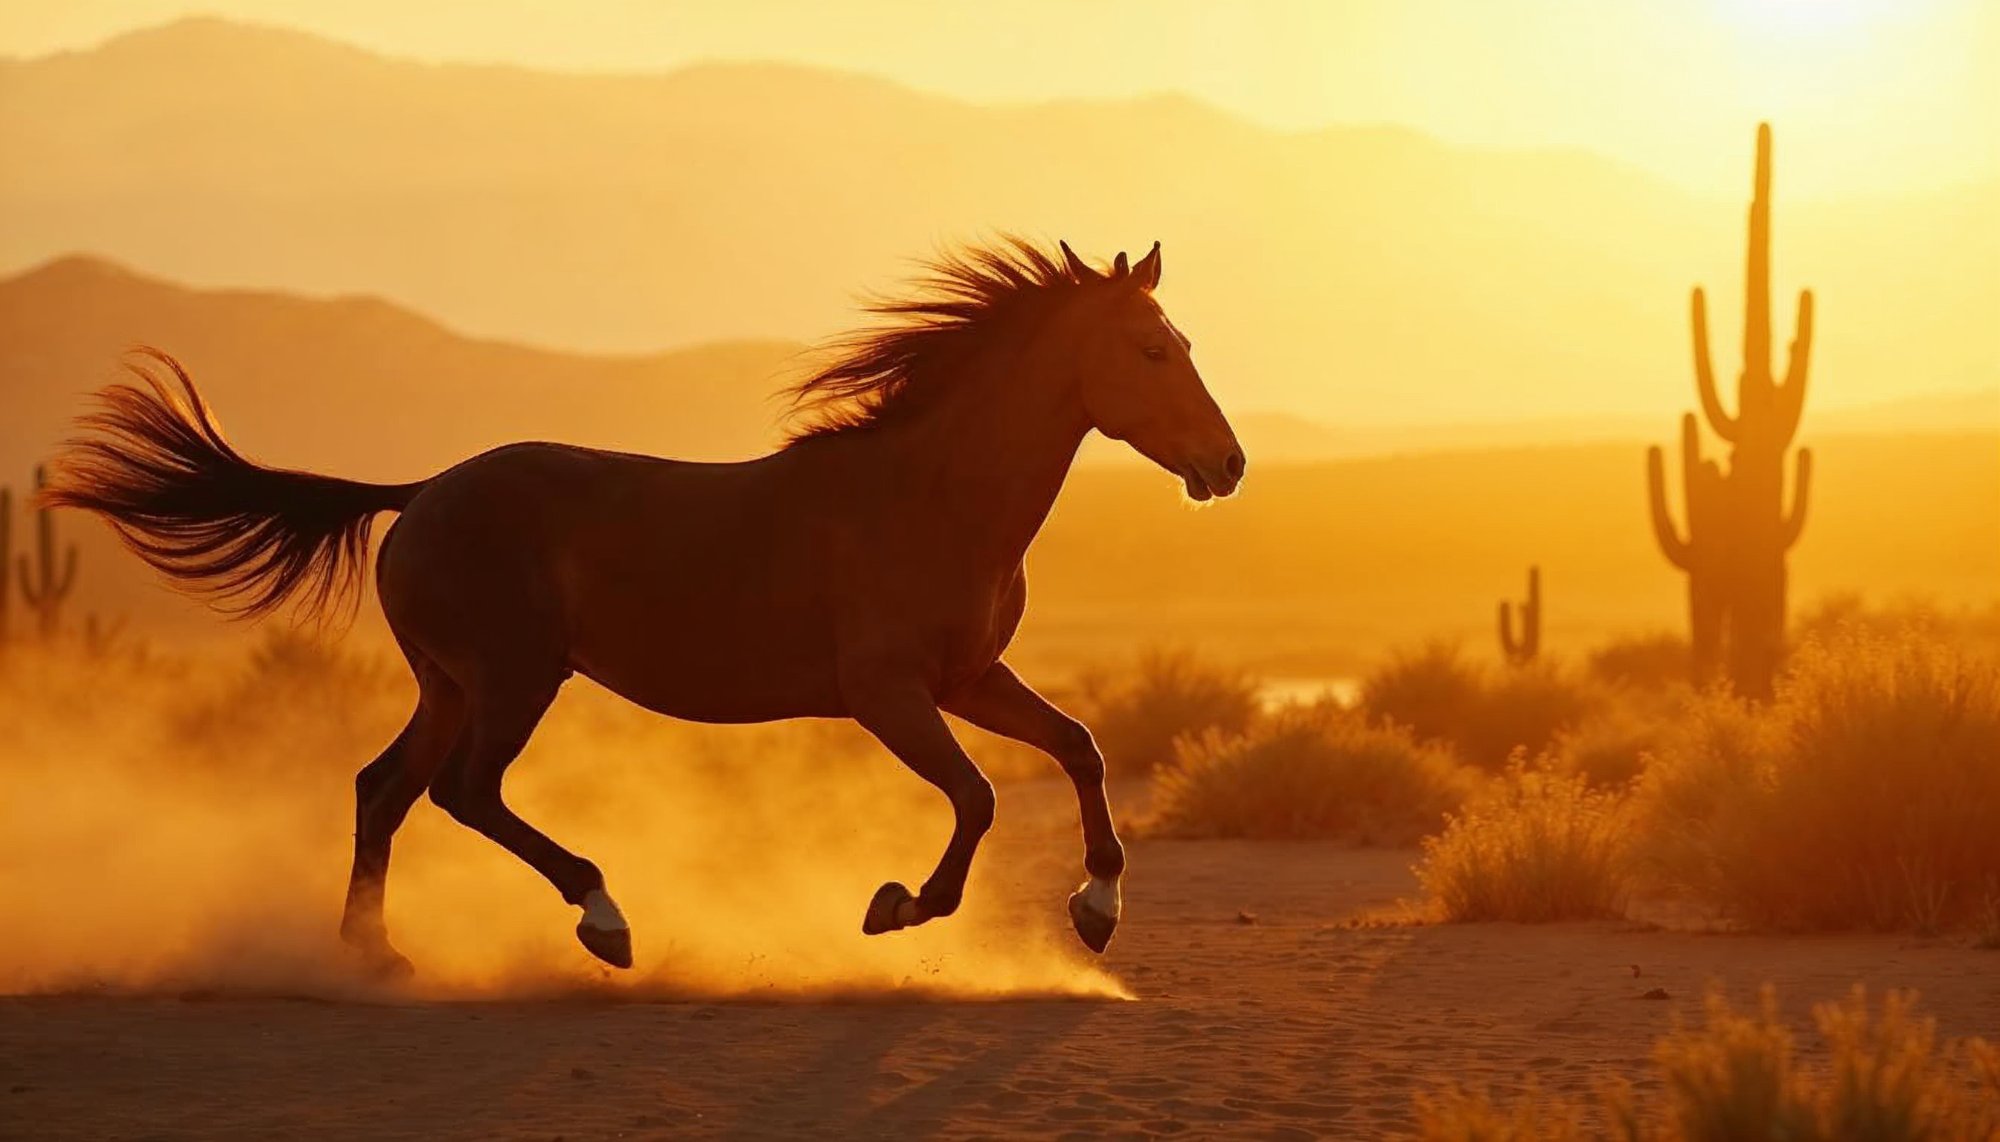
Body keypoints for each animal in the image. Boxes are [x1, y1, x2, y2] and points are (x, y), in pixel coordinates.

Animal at [44, 237, 1245, 976]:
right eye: (1151, 349)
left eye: (1186, 344)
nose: (1227, 465)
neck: (930, 497)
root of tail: (421, 492)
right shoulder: (888, 693)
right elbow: (980, 795)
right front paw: (897, 904)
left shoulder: (969, 678)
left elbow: (1079, 746)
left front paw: (1097, 910)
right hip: (514, 679)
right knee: (463, 792)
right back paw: (603, 917)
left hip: (451, 683)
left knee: (383, 788)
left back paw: (375, 955)